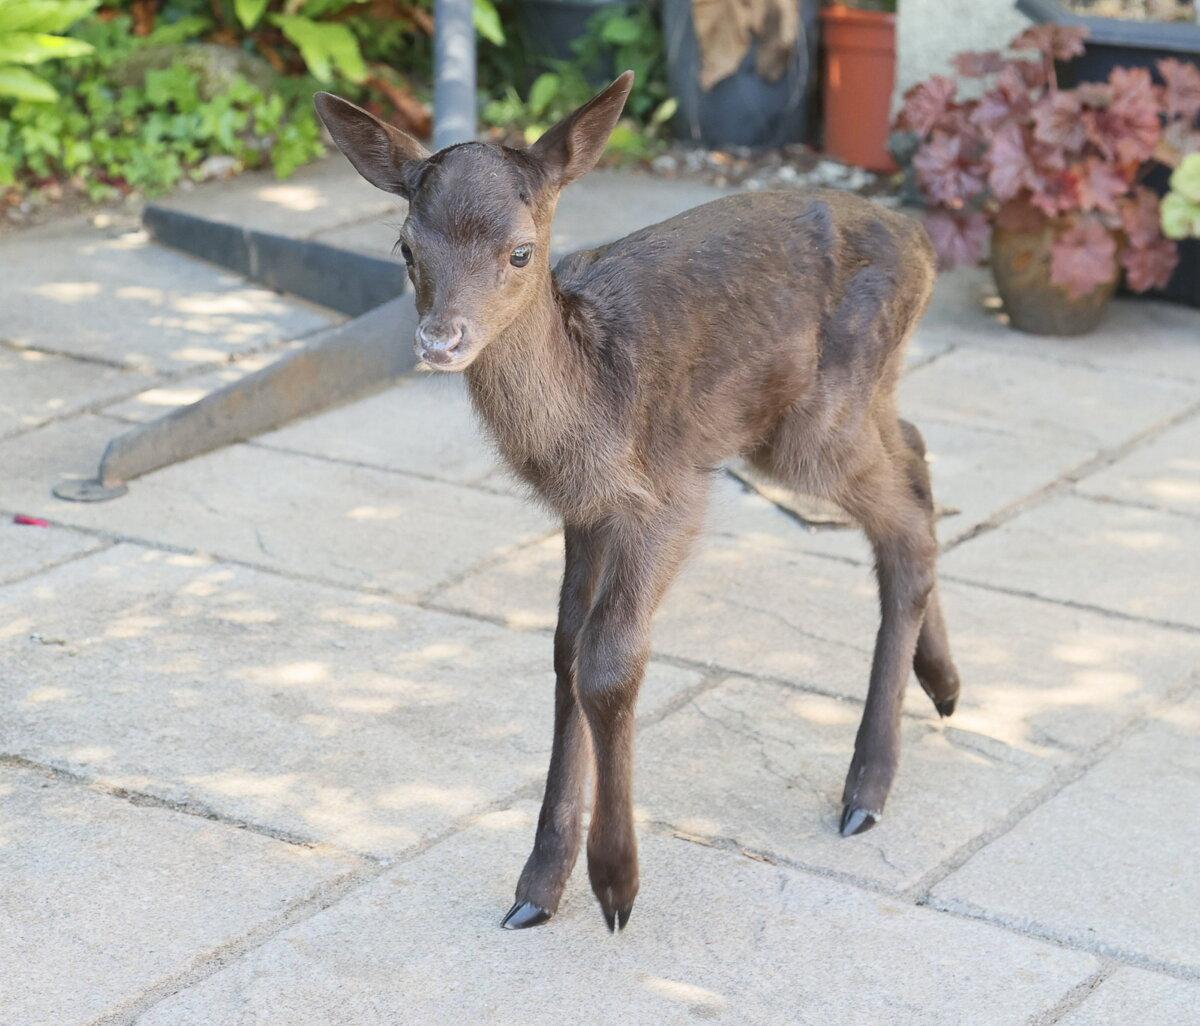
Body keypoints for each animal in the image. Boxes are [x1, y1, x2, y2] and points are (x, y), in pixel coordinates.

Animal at [313, 71, 961, 934]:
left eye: (520, 251)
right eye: (406, 249)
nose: (439, 341)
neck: (591, 404)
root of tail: (924, 244)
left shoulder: (670, 492)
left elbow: (610, 661)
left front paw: (615, 886)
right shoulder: (584, 512)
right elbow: (564, 650)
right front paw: (536, 890)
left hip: (813, 426)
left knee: (908, 520)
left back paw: (866, 790)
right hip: (837, 406)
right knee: (916, 453)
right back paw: (945, 687)